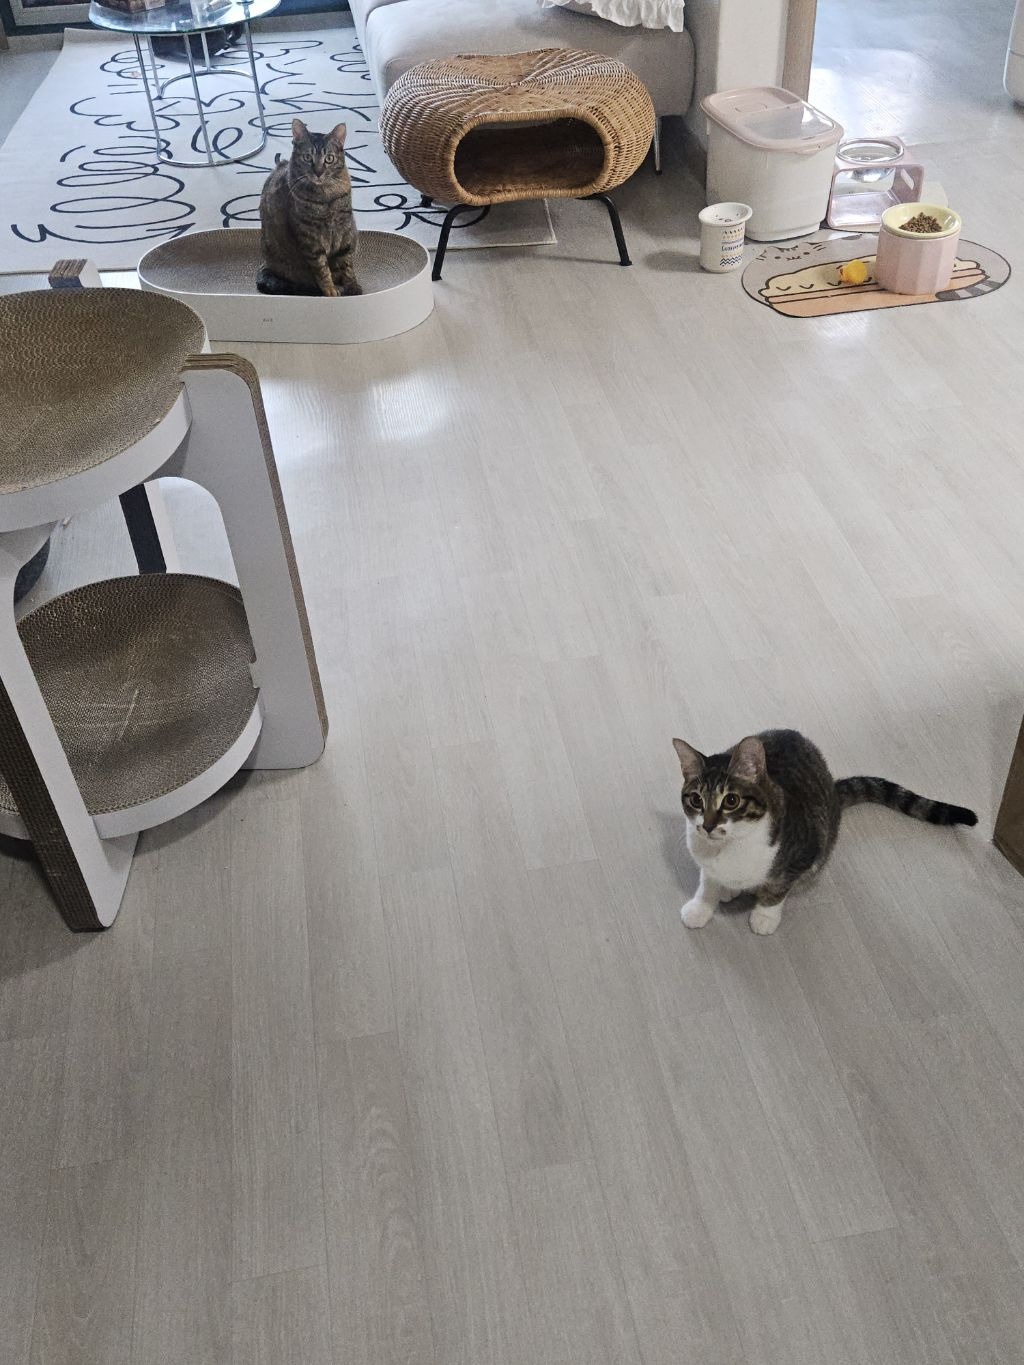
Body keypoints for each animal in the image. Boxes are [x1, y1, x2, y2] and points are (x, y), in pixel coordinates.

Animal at [257, 119, 361, 298]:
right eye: (307, 157)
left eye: (329, 158)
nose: (318, 172)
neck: (327, 197)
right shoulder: (310, 238)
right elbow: (322, 269)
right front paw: (330, 290)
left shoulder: (345, 231)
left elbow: (346, 264)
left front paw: (353, 287)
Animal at [672, 729, 977, 936]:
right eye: (696, 800)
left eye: (731, 801)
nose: (707, 826)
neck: (728, 848)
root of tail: (832, 788)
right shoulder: (705, 858)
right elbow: (707, 882)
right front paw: (701, 906)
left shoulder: (804, 852)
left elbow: (777, 888)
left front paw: (765, 916)